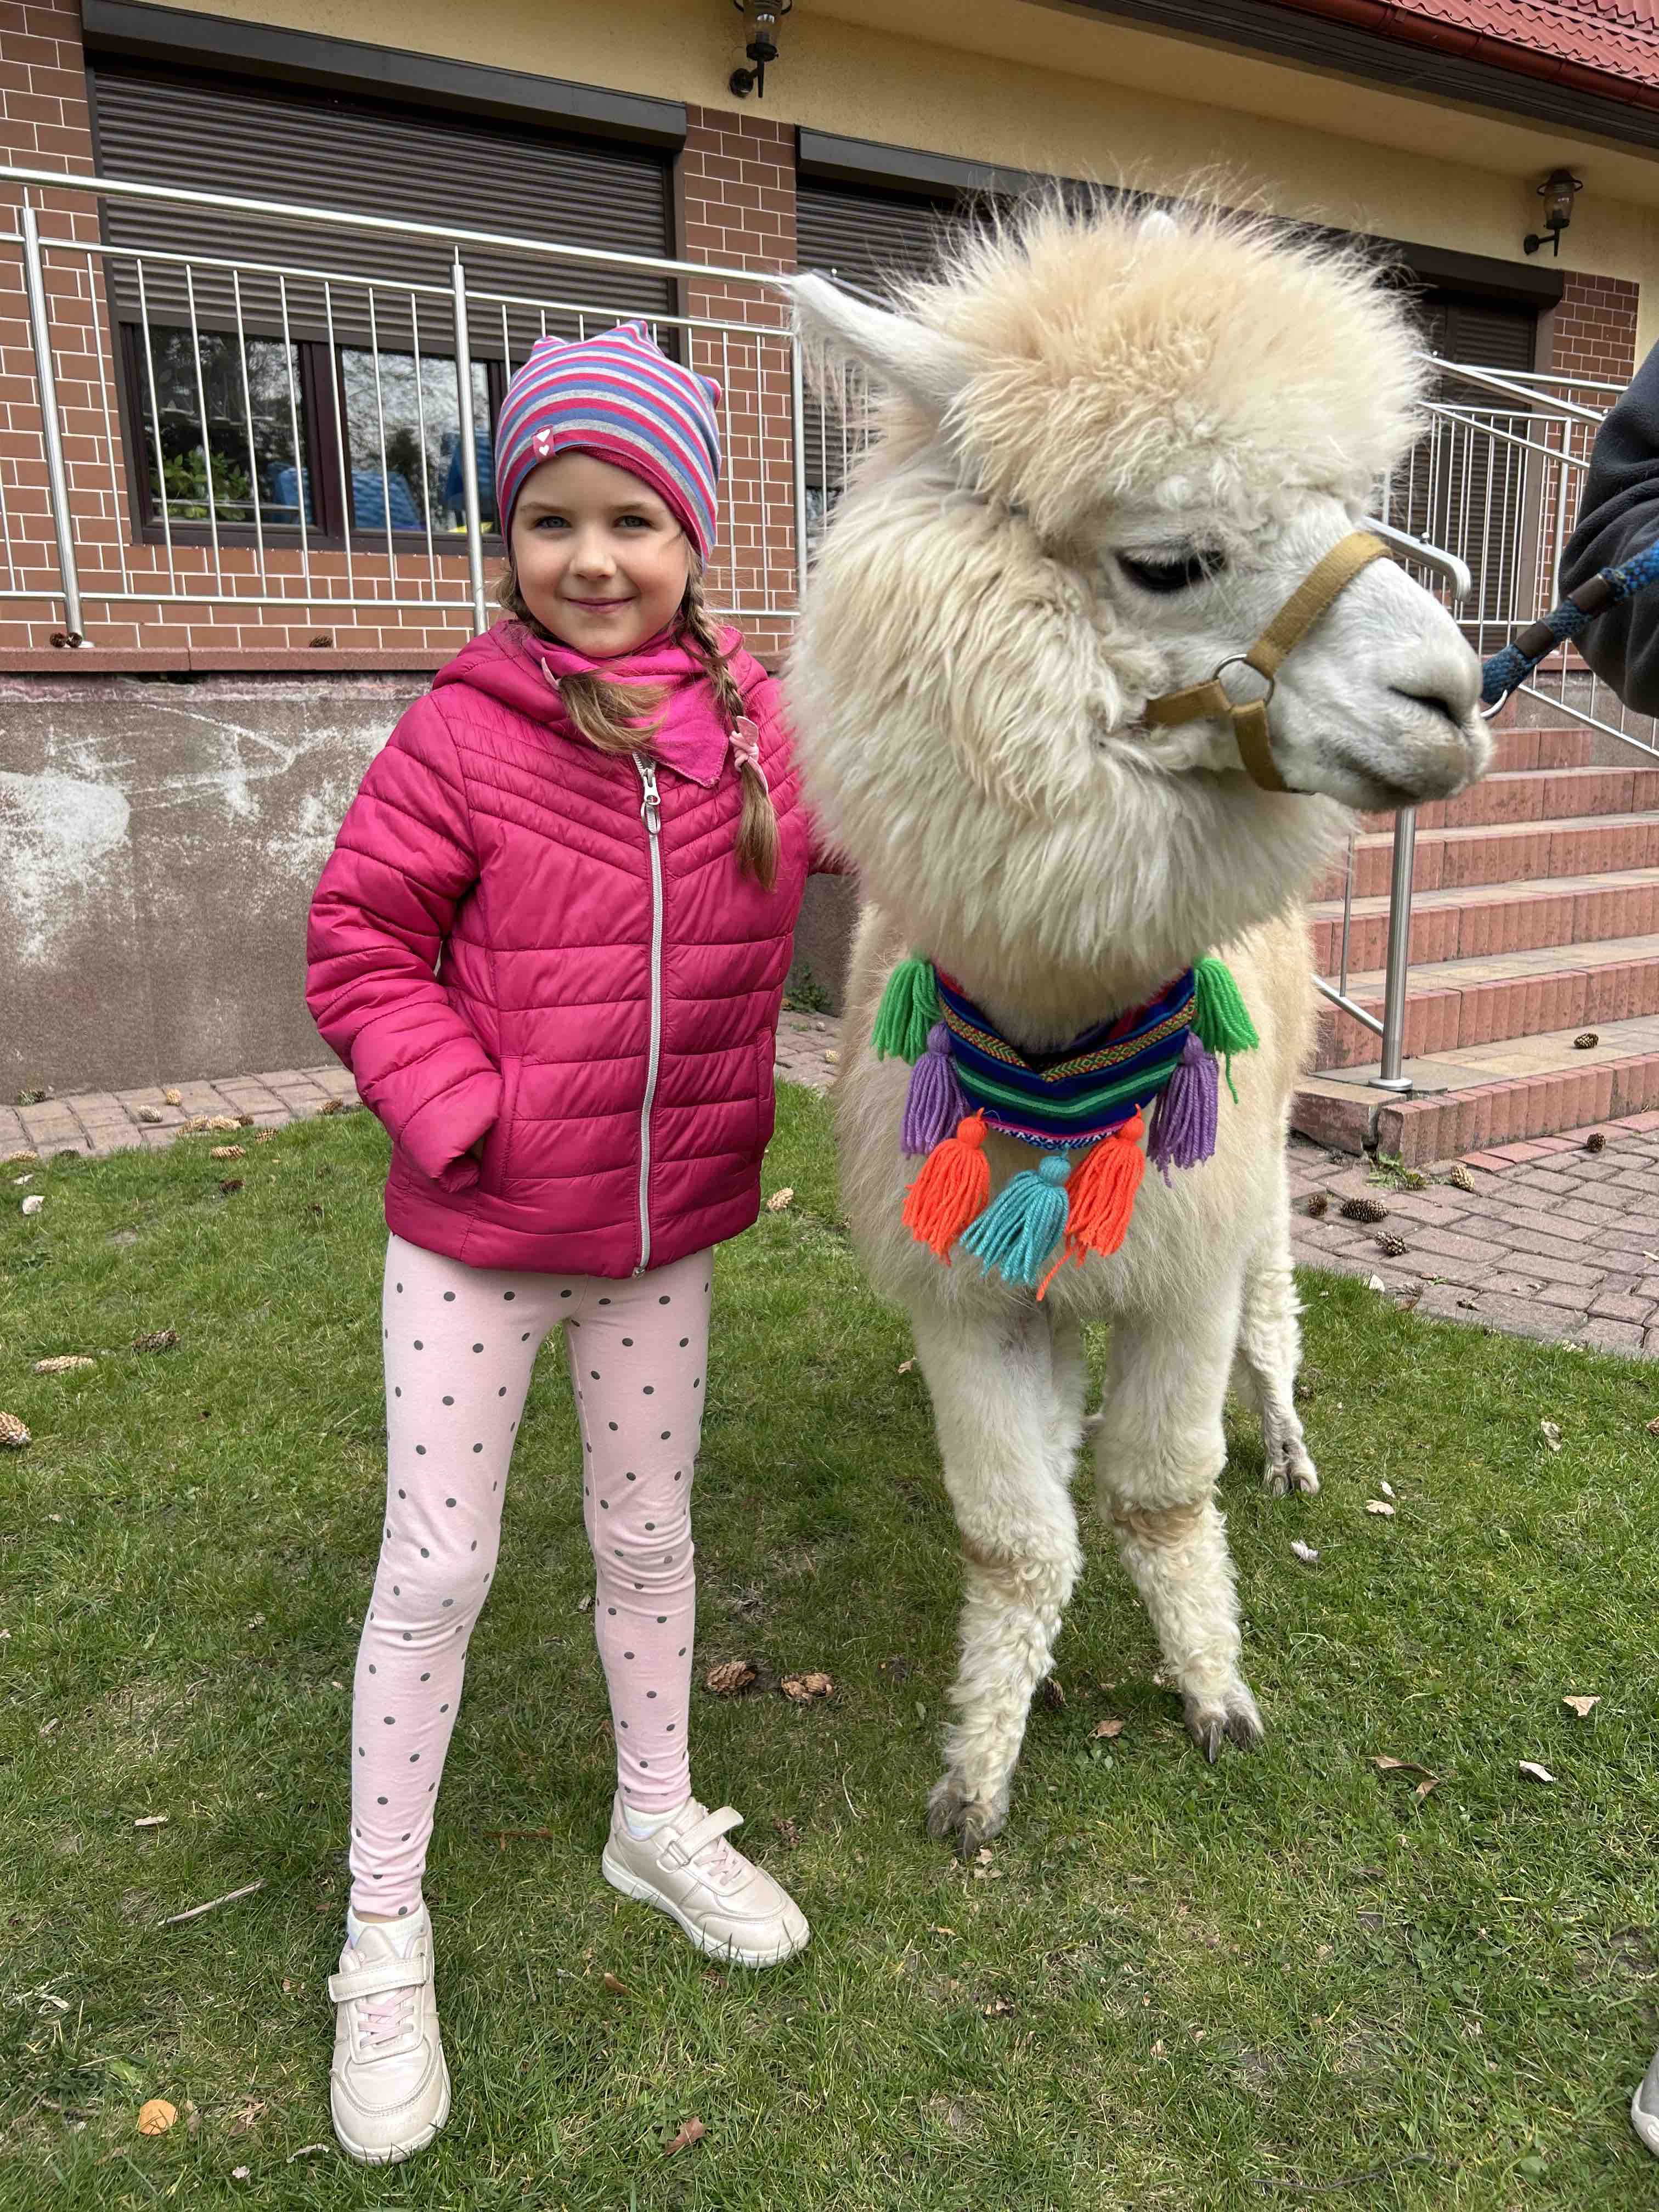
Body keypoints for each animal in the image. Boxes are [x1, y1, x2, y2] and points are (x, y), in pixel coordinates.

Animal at [784, 196, 1489, 1853]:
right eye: (1171, 557)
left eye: (1357, 505)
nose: (1455, 694)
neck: (1059, 1040)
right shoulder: (964, 1279)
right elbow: (1015, 1533)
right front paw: (979, 1767)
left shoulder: (1187, 1250)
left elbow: (1167, 1490)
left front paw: (1215, 1697)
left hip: (1266, 1178)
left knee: (1278, 1325)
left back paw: (1288, 1453)